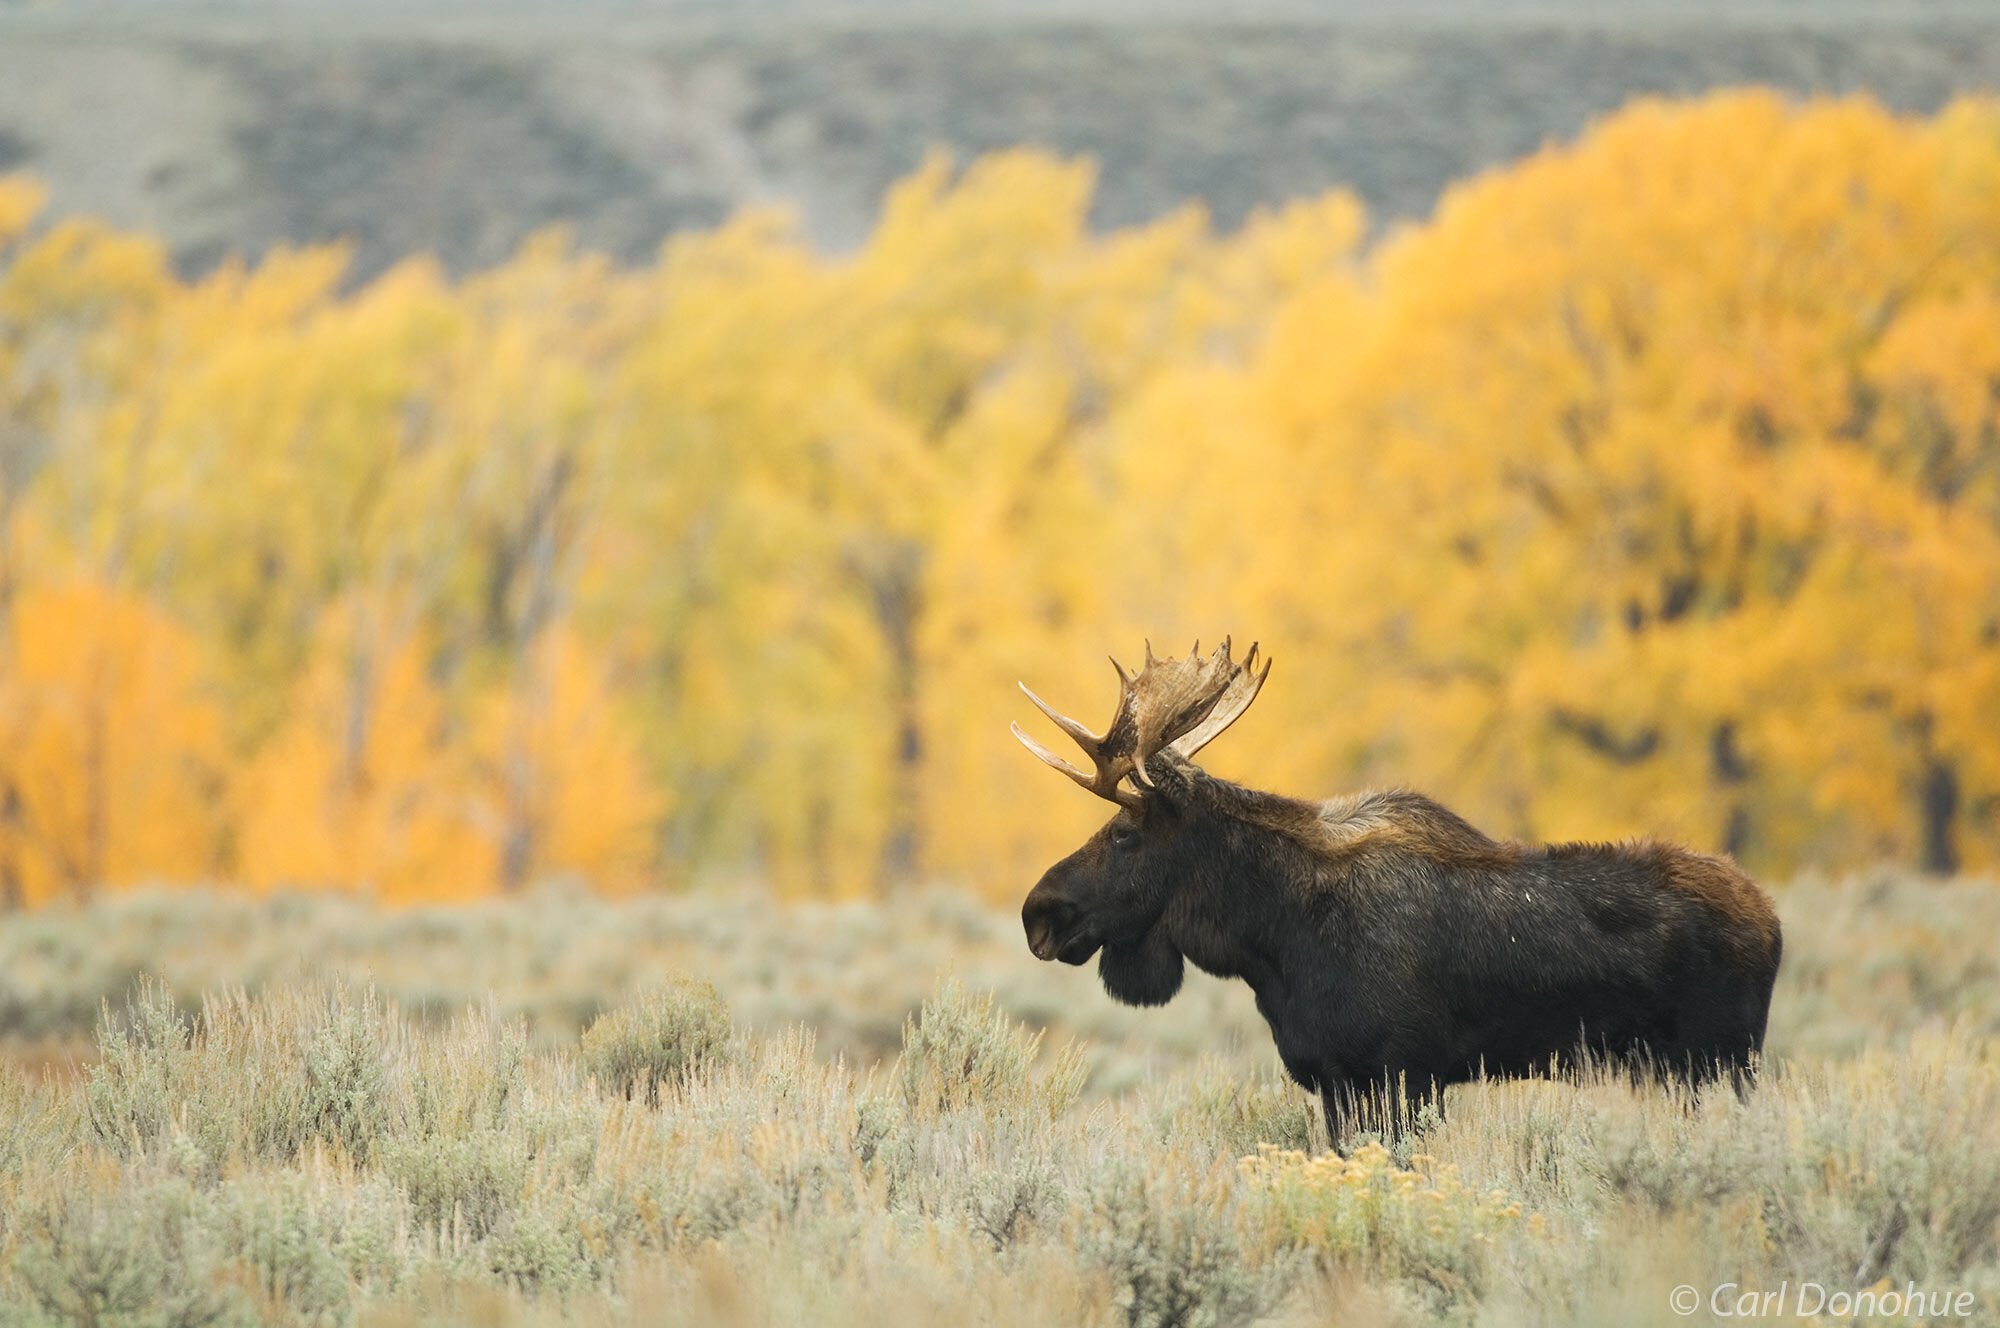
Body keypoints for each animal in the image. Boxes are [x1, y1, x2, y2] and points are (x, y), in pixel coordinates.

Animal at [1016, 640, 1784, 1136]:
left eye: (1126, 832)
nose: (1038, 912)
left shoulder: (1402, 1075)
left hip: (1719, 1062)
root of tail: (1773, 921)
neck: (1270, 943)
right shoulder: (1335, 1080)